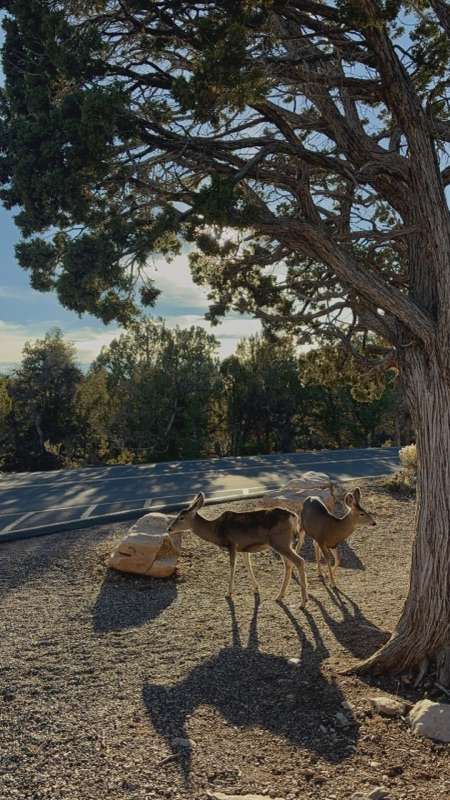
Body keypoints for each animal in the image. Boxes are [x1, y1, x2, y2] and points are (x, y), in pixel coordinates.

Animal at [167, 492, 308, 607]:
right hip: (284, 542)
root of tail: (294, 517)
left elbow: (232, 567)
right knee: (289, 564)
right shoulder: (243, 548)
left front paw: (228, 592)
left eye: (181, 517)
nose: (169, 528)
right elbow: (247, 565)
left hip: (279, 541)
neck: (216, 531)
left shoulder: (232, 544)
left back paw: (303, 602)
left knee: (299, 561)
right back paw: (280, 596)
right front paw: (256, 589)